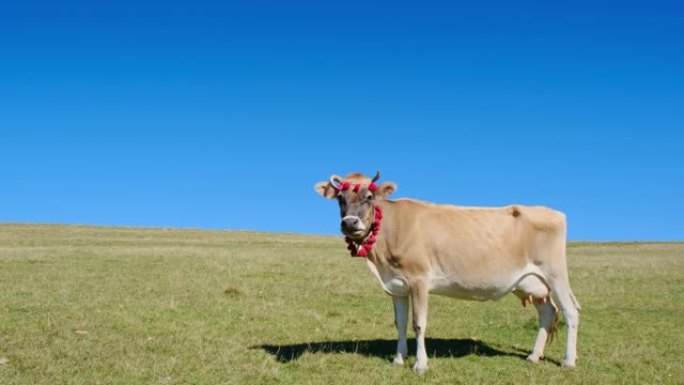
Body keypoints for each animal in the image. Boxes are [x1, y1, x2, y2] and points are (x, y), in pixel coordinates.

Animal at [312, 171, 580, 372]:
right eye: (340, 198)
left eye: (369, 196)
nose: (349, 223)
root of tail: (552, 212)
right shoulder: (396, 286)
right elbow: (400, 323)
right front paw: (398, 359)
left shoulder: (419, 279)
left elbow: (418, 323)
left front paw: (420, 365)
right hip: (530, 283)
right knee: (547, 313)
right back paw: (534, 356)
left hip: (555, 273)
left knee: (570, 310)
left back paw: (568, 361)